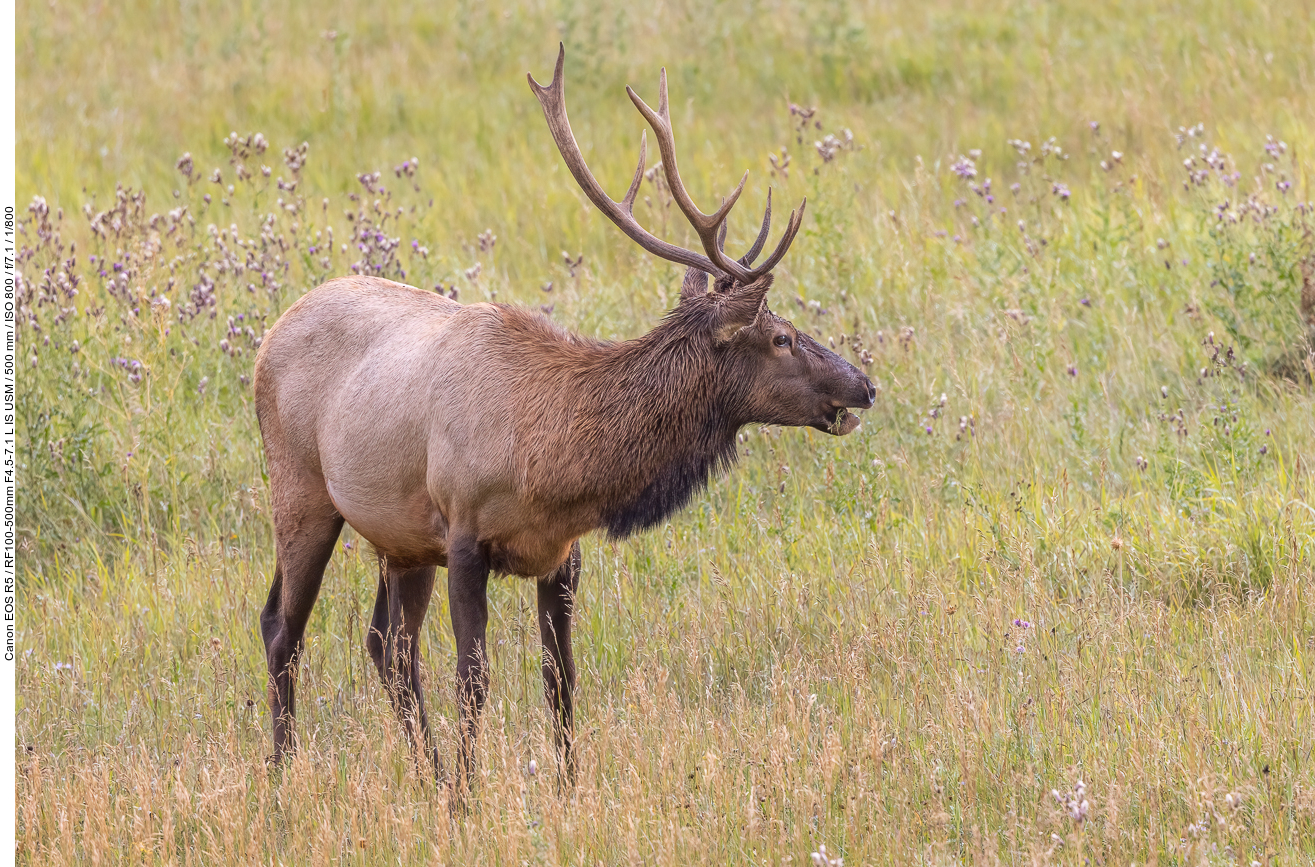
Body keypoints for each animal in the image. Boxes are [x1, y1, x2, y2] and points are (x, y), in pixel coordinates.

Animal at [252, 45, 878, 794]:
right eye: (780, 337)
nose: (864, 384)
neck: (554, 467)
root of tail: (269, 337)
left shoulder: (560, 556)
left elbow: (562, 679)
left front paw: (564, 786)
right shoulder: (463, 531)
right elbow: (474, 678)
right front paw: (471, 797)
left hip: (398, 537)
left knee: (387, 648)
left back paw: (427, 774)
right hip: (302, 491)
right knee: (283, 628)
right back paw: (284, 774)